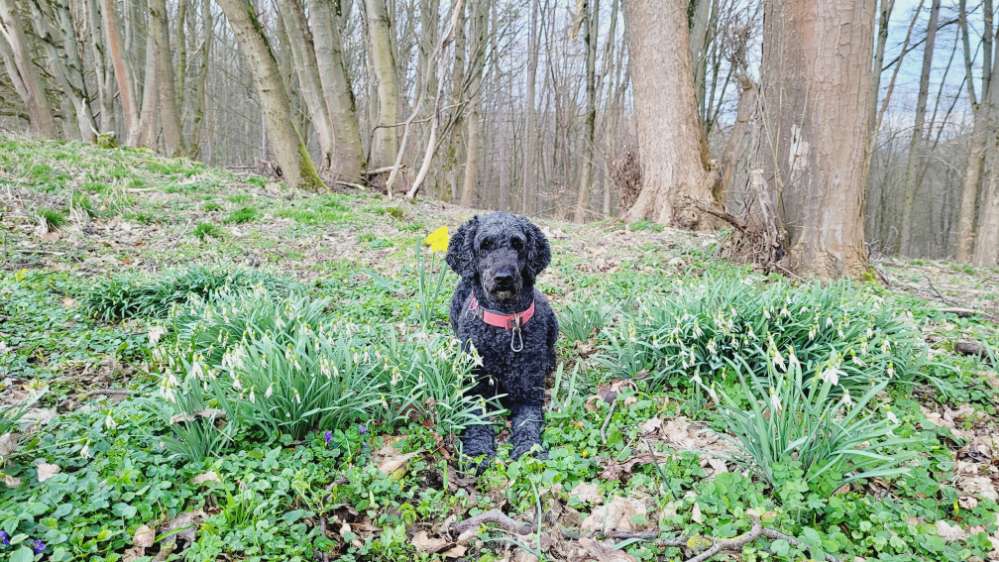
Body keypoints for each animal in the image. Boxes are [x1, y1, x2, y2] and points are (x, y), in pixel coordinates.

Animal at [448, 210, 560, 460]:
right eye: (485, 245)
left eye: (518, 244)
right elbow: (476, 422)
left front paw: (528, 451)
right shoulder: (473, 392)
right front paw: (478, 452)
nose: (503, 277)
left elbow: (527, 424)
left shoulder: (528, 395)